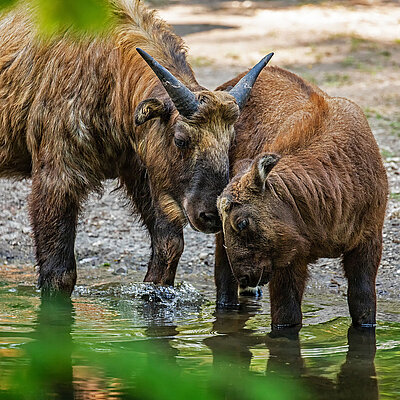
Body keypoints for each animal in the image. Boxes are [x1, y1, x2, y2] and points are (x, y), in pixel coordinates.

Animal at [216, 66, 388, 328]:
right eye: (223, 218)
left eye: (242, 222)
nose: (245, 276)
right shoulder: (288, 258)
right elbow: (286, 315)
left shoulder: (368, 239)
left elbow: (363, 305)